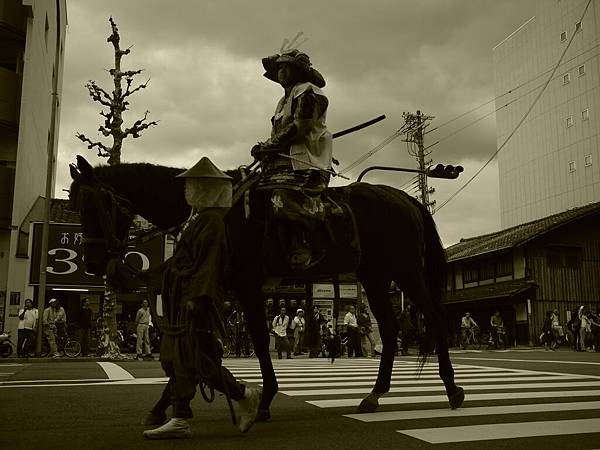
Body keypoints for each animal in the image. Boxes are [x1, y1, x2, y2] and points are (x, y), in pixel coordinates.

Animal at [69, 156, 464, 422]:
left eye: (92, 205)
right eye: (74, 206)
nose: (92, 261)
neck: (216, 207)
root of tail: (406, 199)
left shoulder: (244, 283)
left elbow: (257, 339)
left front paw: (263, 400)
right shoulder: (219, 287)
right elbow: (201, 343)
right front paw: (166, 404)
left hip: (405, 270)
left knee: (434, 315)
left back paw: (451, 388)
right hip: (377, 275)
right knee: (391, 326)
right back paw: (375, 394)